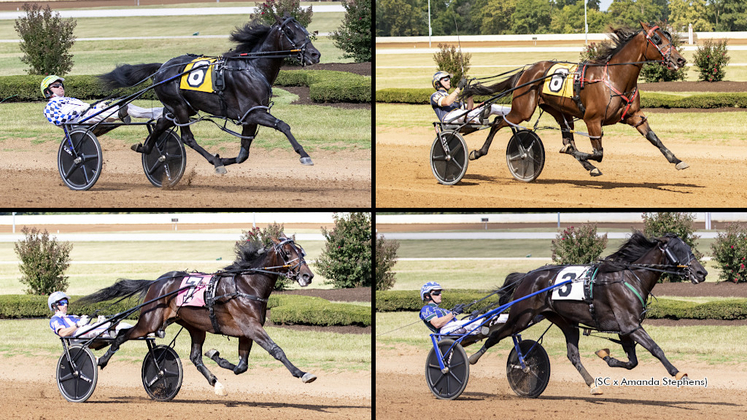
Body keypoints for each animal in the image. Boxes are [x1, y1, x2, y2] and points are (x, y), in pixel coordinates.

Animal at [78, 236, 316, 398]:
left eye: (302, 252)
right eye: (287, 252)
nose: (308, 275)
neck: (246, 286)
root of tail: (157, 282)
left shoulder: (246, 332)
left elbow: (241, 366)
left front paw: (216, 356)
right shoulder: (251, 327)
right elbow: (276, 350)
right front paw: (302, 373)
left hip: (195, 326)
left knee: (195, 357)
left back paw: (215, 382)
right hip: (150, 321)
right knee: (122, 336)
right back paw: (100, 360)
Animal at [101, 13, 320, 174]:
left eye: (304, 30)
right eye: (290, 31)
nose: (315, 54)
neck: (252, 68)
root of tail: (162, 67)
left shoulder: (250, 118)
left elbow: (243, 154)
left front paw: (222, 157)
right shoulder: (253, 112)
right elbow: (283, 125)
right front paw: (304, 154)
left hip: (180, 108)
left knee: (161, 124)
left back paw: (145, 149)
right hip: (179, 107)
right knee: (187, 138)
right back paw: (213, 162)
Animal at [468, 22, 688, 176]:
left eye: (668, 37)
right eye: (657, 39)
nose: (680, 60)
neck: (614, 77)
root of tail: (526, 71)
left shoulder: (634, 116)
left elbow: (654, 138)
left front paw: (677, 160)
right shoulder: (593, 120)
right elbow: (598, 153)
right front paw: (582, 155)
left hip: (559, 112)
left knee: (567, 137)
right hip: (523, 109)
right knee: (498, 121)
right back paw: (477, 152)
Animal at [470, 233, 712, 394]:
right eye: (678, 249)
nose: (702, 272)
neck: (629, 278)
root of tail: (528, 275)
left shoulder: (625, 329)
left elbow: (632, 362)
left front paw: (605, 355)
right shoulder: (631, 325)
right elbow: (655, 348)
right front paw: (677, 371)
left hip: (565, 322)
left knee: (573, 355)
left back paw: (592, 384)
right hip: (521, 317)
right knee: (495, 335)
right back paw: (472, 357)